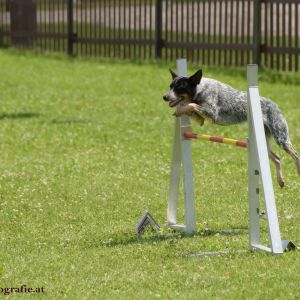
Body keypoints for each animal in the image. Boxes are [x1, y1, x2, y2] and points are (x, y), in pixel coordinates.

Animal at [164, 68, 300, 188]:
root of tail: (275, 105)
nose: (165, 97)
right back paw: (280, 180)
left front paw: (180, 109)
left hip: (281, 138)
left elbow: (191, 104)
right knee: (278, 158)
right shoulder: (202, 117)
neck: (200, 90)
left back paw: (297, 171)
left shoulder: (212, 113)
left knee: (295, 154)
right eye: (170, 86)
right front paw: (180, 110)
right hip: (263, 143)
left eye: (179, 87)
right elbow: (190, 107)